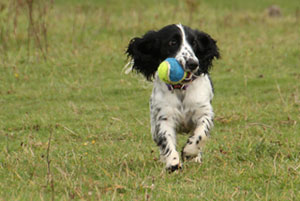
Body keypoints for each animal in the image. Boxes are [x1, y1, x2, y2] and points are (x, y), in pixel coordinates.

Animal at [125, 23, 219, 171]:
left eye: (194, 42)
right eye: (172, 42)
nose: (193, 63)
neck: (181, 88)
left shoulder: (204, 112)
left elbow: (201, 134)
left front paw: (189, 152)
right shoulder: (164, 117)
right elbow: (166, 140)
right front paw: (173, 163)